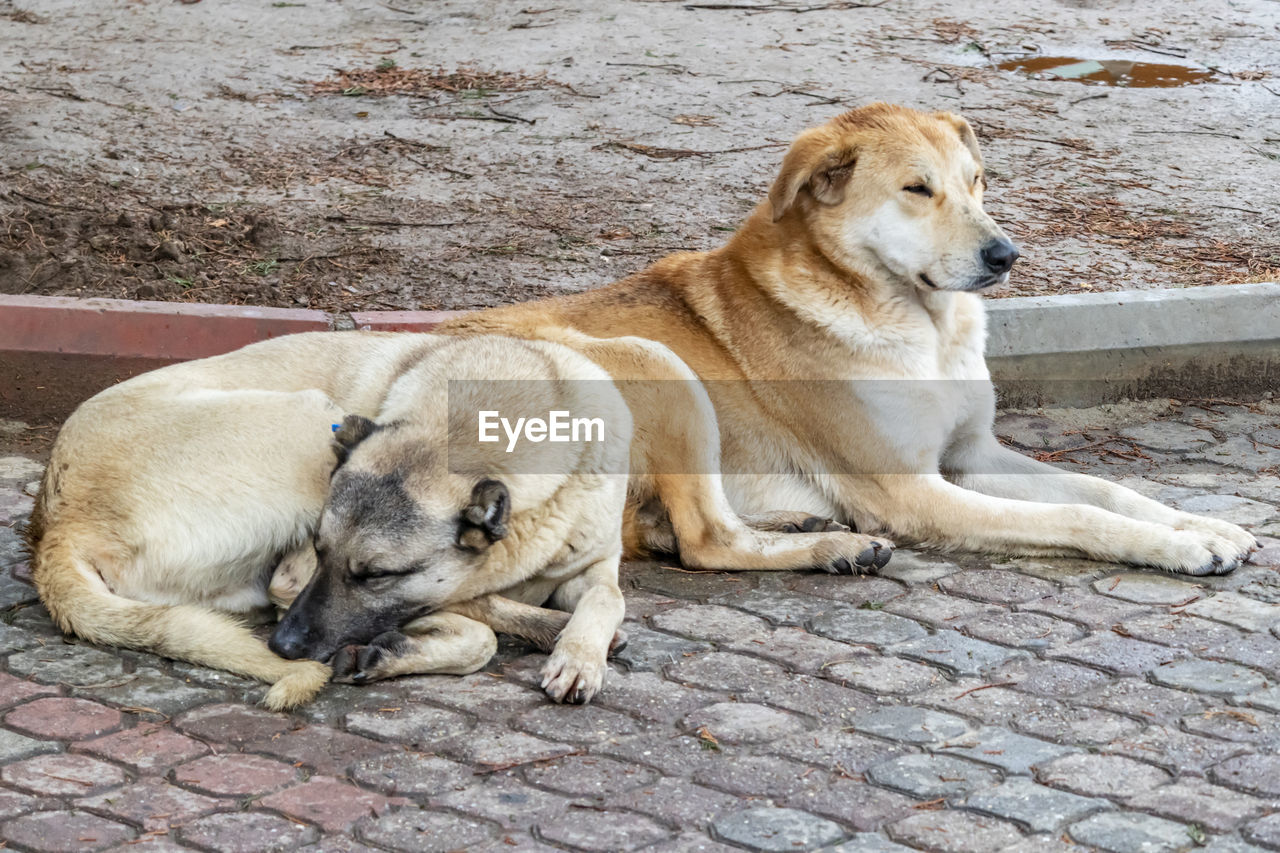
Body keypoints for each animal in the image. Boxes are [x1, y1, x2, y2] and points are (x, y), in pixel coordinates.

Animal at [440, 103, 1259, 573]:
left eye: (978, 181)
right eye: (917, 189)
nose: (1007, 255)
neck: (924, 329)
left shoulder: (973, 455)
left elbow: (1106, 488)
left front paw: (1205, 524)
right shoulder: (913, 489)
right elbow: (1075, 514)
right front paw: (1179, 547)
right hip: (657, 366)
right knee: (706, 542)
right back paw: (832, 544)